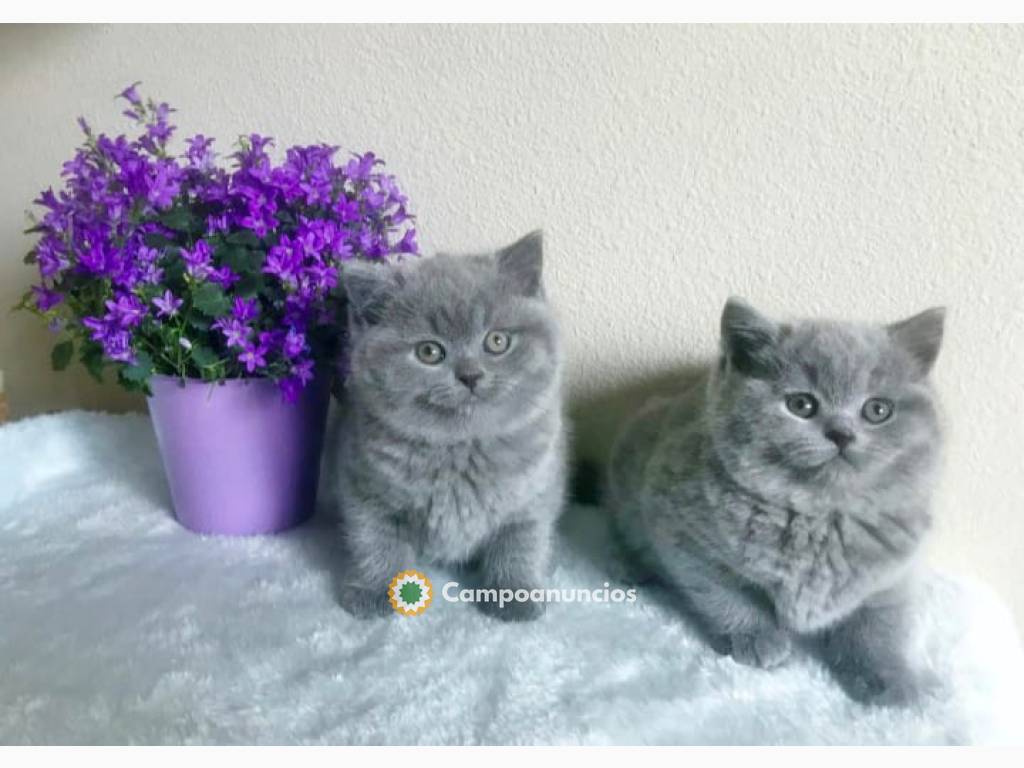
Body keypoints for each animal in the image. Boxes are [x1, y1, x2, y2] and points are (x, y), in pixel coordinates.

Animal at [331, 231, 569, 622]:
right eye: (429, 352)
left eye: (497, 341)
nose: (470, 375)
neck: (460, 449)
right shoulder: (364, 487)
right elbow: (375, 539)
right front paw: (375, 589)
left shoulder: (534, 493)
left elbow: (522, 541)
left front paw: (514, 594)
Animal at [610, 299, 946, 704]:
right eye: (801, 404)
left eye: (877, 410)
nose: (841, 434)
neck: (820, 516)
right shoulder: (677, 527)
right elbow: (721, 591)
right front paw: (756, 636)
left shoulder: (893, 573)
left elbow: (882, 625)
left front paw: (891, 678)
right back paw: (633, 567)